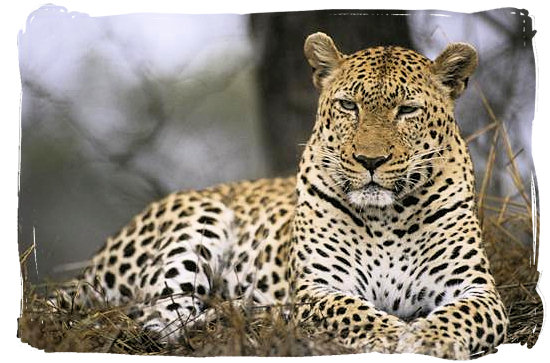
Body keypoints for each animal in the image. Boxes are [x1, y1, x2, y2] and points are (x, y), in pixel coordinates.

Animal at [51, 32, 508, 362]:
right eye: (348, 105)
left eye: (408, 110)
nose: (370, 160)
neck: (387, 218)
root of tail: (92, 265)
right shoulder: (319, 288)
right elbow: (356, 313)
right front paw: (394, 334)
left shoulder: (476, 288)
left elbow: (461, 315)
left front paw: (428, 338)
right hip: (198, 219)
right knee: (158, 319)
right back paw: (251, 316)